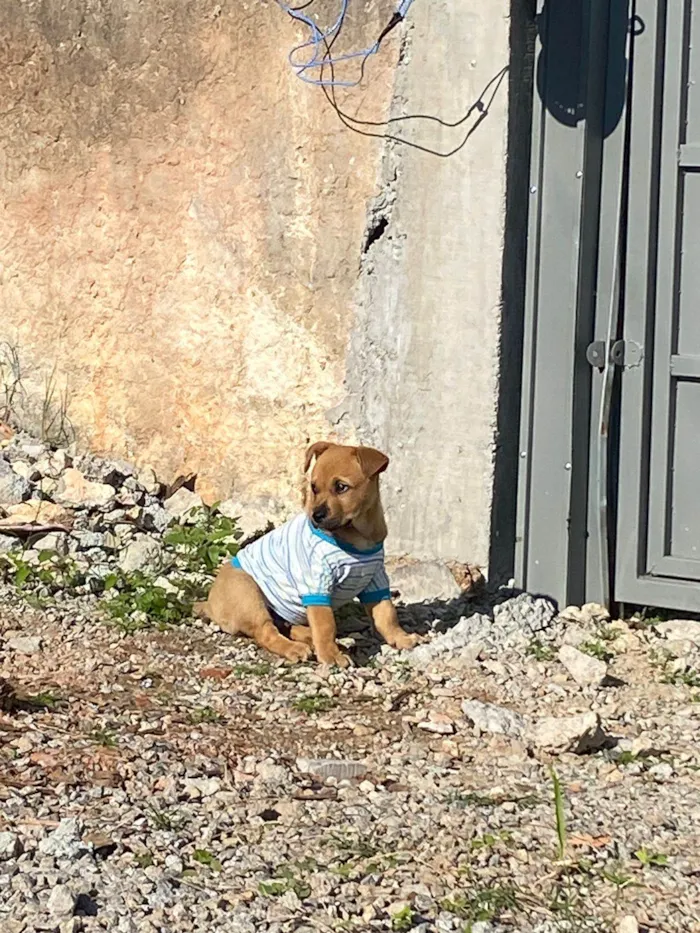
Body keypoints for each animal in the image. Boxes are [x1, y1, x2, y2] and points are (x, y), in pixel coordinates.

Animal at [194, 440, 418, 668]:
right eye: (314, 488)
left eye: (341, 487)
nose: (316, 516)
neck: (357, 536)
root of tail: (210, 604)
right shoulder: (317, 584)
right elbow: (326, 625)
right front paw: (330, 656)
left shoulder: (376, 579)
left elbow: (387, 614)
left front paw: (400, 638)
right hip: (247, 592)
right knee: (266, 632)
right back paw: (295, 648)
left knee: (286, 626)